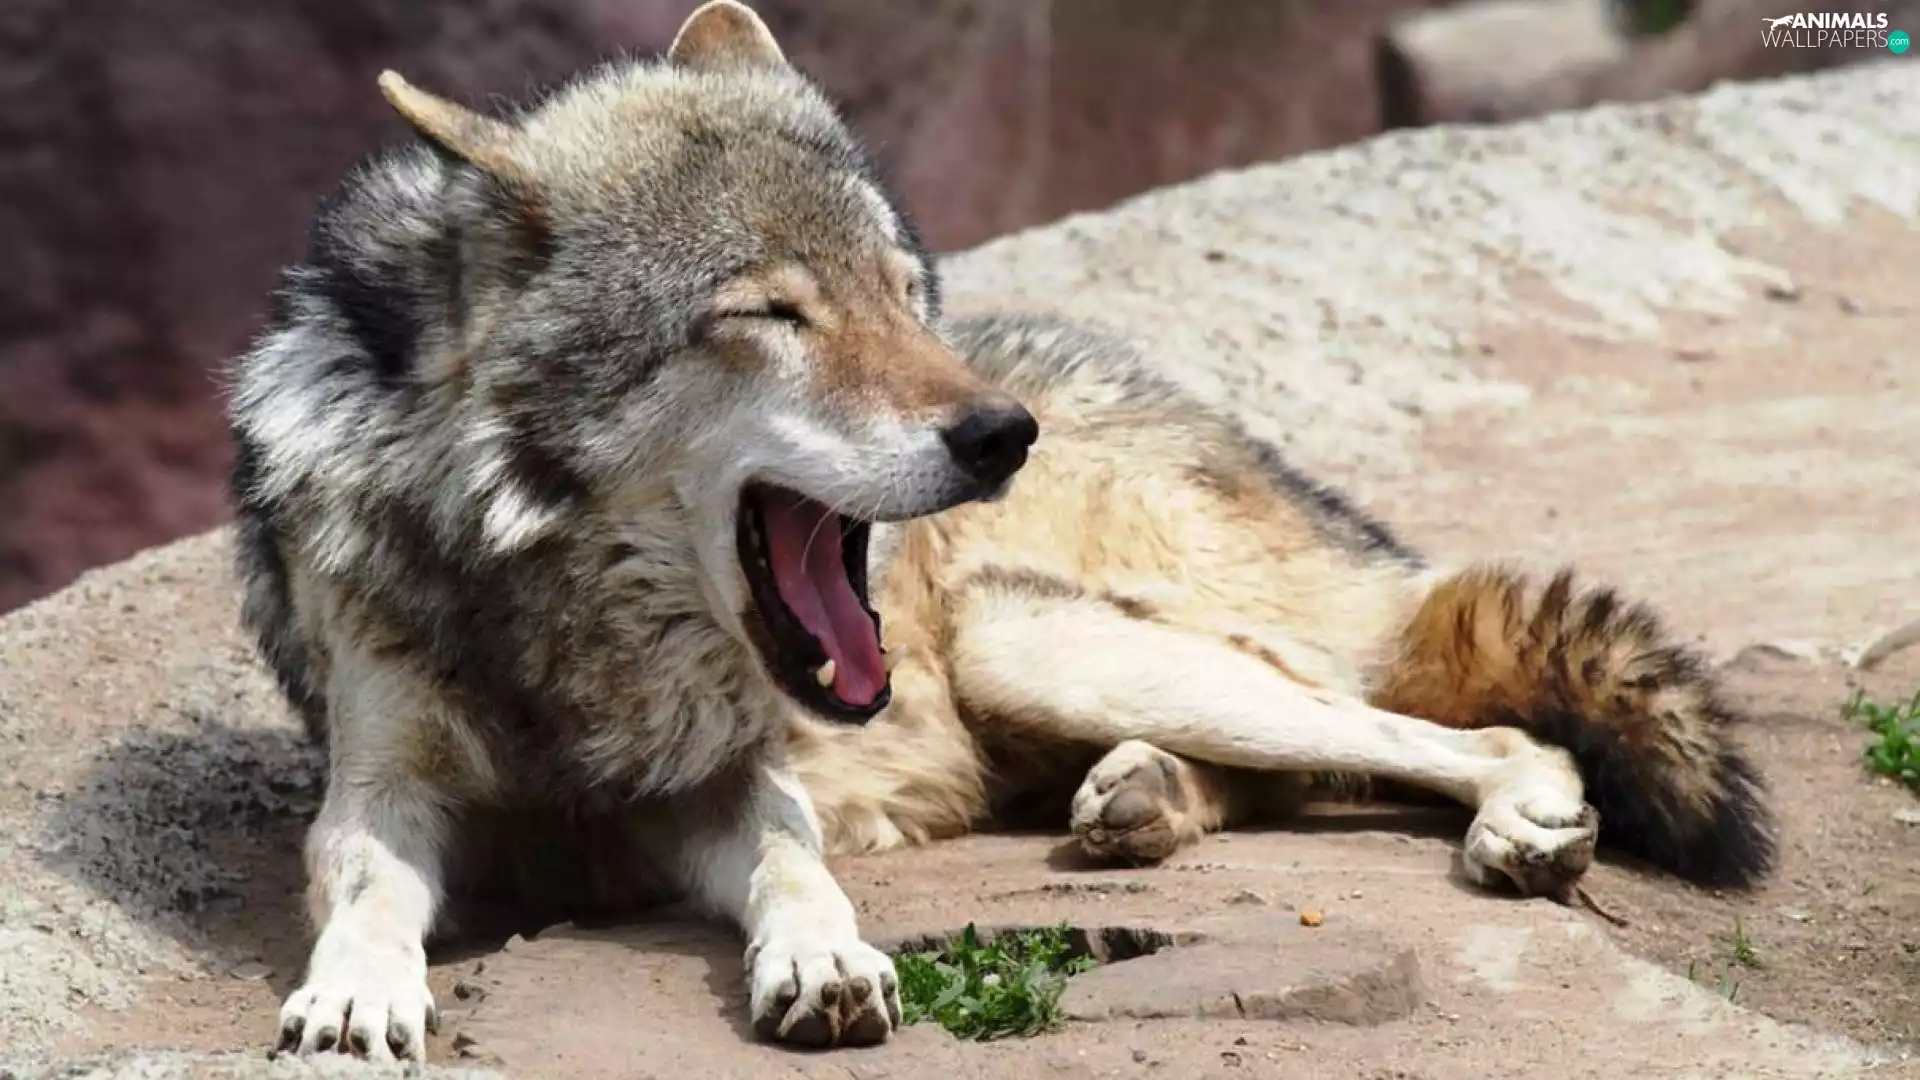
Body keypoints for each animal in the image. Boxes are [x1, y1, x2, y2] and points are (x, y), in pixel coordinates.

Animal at [227, 0, 1777, 1065]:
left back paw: (1513, 822)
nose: (997, 433)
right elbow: (367, 885)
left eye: (901, 291)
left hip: (1032, 641)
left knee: (1456, 734)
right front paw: (356, 990)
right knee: (1290, 771)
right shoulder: (385, 785)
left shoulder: (739, 783)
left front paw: (822, 964)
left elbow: (796, 869)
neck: (564, 609)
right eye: (770, 312)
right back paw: (1141, 801)